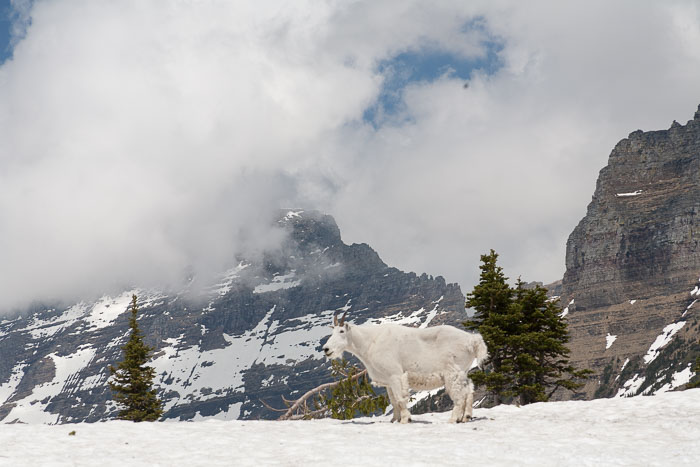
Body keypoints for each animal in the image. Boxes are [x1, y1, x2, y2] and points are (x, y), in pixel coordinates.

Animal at [322, 314, 486, 424]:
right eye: (332, 332)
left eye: (341, 331)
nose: (326, 349)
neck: (369, 343)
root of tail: (472, 340)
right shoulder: (387, 381)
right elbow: (394, 401)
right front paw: (394, 420)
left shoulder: (395, 374)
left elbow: (400, 399)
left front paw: (405, 419)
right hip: (463, 372)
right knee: (469, 391)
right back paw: (465, 417)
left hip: (452, 372)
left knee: (459, 396)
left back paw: (453, 419)